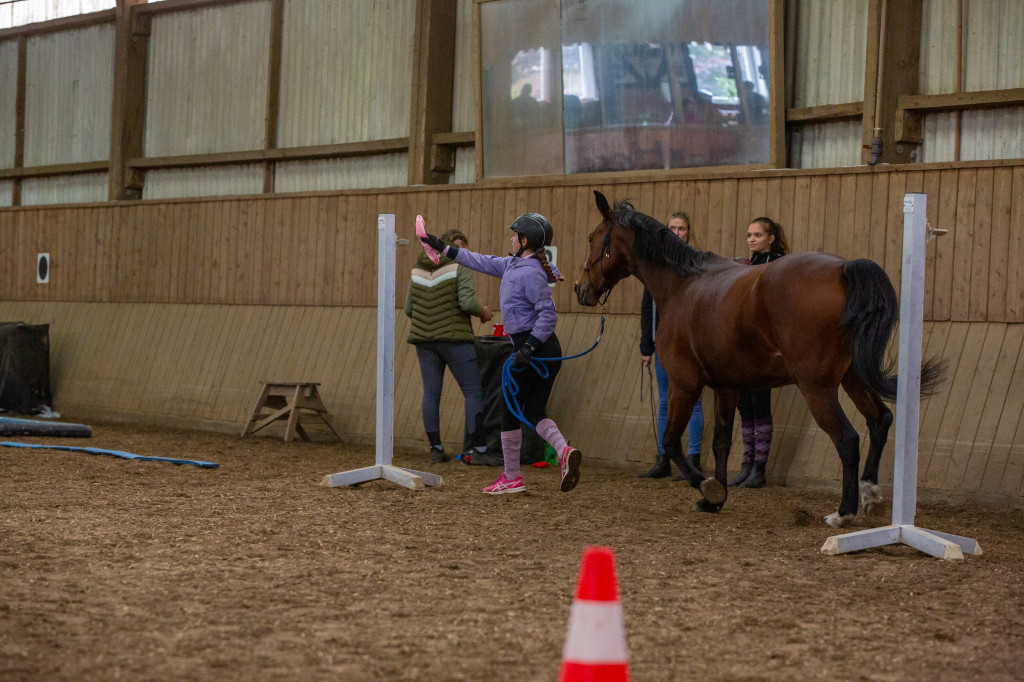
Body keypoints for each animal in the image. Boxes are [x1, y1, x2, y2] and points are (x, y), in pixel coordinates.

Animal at [573, 191, 943, 527]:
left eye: (592, 237)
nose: (580, 289)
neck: (682, 285)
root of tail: (843, 267)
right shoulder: (726, 387)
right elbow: (721, 442)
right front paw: (715, 500)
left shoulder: (684, 384)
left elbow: (671, 441)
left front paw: (707, 488)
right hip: (852, 376)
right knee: (879, 420)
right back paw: (869, 493)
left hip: (817, 387)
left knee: (847, 439)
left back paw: (844, 512)